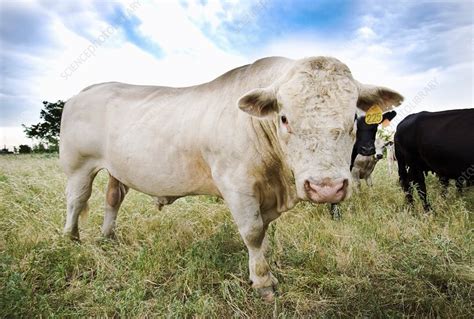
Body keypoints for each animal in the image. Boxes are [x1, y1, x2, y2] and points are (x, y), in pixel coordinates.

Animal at [57, 56, 402, 302]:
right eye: (284, 118)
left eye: (352, 120)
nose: (325, 188)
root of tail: (86, 91)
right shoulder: (237, 185)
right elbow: (253, 233)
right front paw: (262, 282)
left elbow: (264, 232)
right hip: (78, 166)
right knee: (76, 200)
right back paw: (71, 239)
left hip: (116, 170)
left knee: (112, 200)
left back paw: (108, 237)